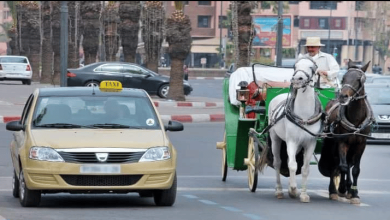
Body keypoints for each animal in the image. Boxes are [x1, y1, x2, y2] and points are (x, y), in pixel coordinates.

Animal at [268, 54, 322, 203]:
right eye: (295, 66)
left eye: (311, 67)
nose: (297, 79)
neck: (304, 115)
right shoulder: (291, 141)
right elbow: (293, 165)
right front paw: (292, 189)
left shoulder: (310, 143)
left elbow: (304, 168)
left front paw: (303, 194)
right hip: (275, 139)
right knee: (278, 163)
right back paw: (279, 190)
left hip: (297, 145)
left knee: (288, 161)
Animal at [320, 58, 374, 205]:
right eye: (343, 78)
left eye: (359, 79)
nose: (343, 96)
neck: (356, 118)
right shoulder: (342, 141)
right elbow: (343, 166)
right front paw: (343, 188)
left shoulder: (361, 143)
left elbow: (355, 169)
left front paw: (354, 193)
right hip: (332, 143)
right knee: (335, 163)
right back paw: (335, 190)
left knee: (348, 163)